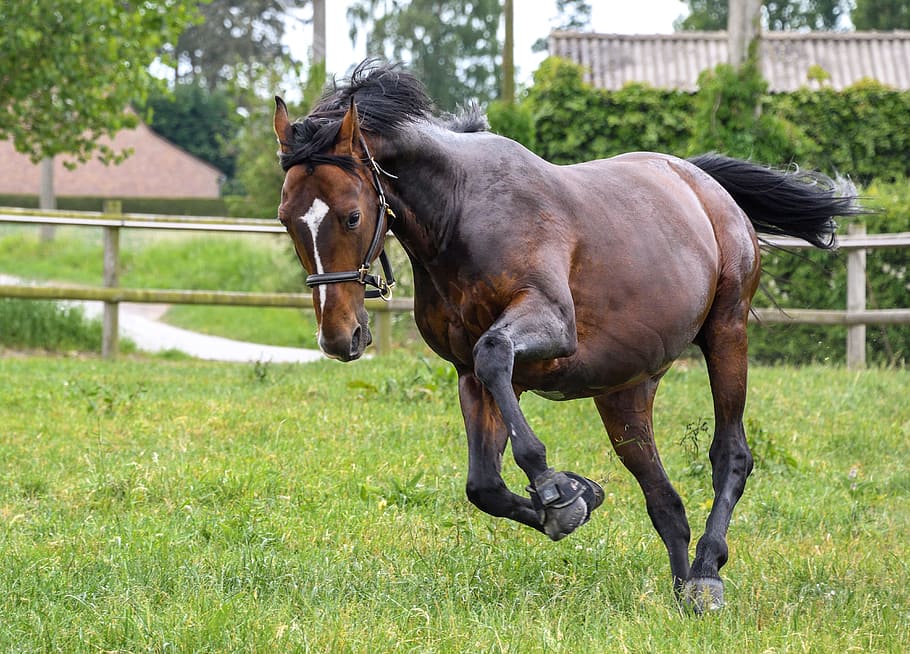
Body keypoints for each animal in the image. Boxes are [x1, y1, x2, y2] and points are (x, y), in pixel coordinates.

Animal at [271, 61, 862, 611]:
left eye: (352, 216)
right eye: (286, 219)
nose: (339, 337)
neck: (460, 213)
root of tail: (701, 181)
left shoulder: (550, 326)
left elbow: (495, 356)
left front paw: (556, 488)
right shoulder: (468, 375)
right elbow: (483, 485)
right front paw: (577, 496)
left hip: (726, 333)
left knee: (731, 455)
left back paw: (707, 575)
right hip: (625, 391)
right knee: (664, 500)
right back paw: (681, 591)